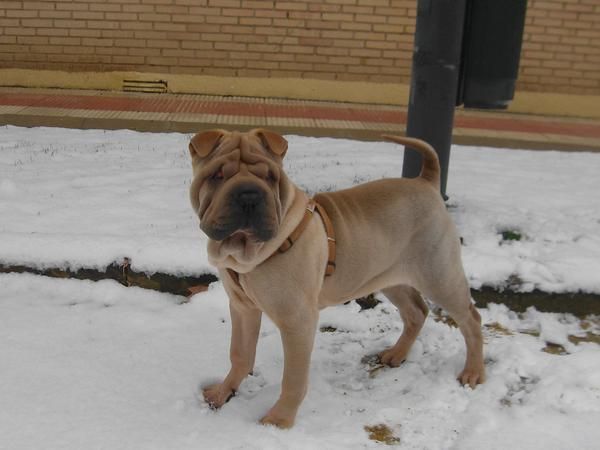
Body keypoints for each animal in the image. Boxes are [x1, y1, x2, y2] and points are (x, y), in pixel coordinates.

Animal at [190, 130, 486, 428]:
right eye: (217, 175)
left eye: (270, 177)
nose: (249, 196)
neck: (246, 252)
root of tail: (426, 182)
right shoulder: (243, 308)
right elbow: (240, 354)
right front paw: (223, 392)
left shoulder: (298, 321)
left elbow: (293, 378)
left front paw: (279, 420)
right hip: (390, 278)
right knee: (417, 311)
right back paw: (397, 354)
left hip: (439, 276)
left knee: (471, 319)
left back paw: (473, 372)